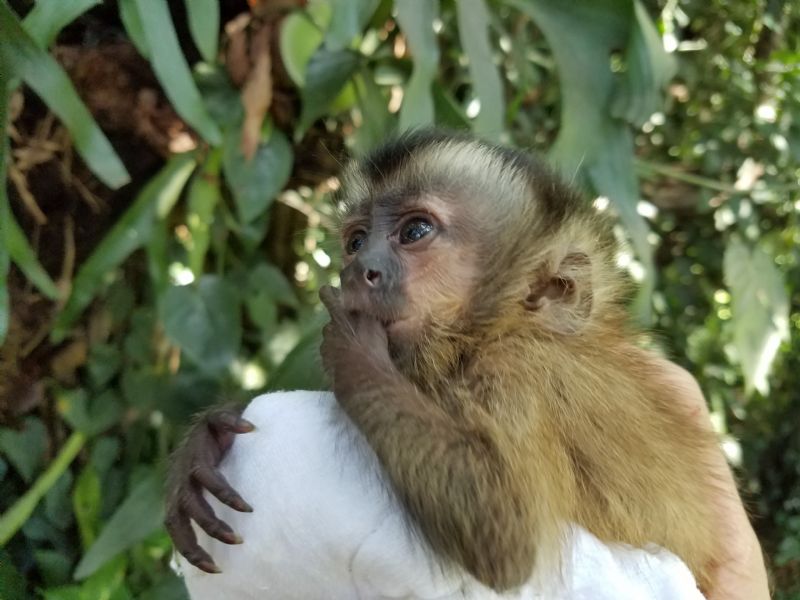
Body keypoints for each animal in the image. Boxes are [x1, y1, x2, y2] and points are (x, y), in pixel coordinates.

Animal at [165, 129, 724, 594]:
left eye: (415, 232)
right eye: (355, 241)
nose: (359, 270)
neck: (487, 335)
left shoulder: (513, 372)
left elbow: (508, 538)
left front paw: (352, 343)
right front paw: (207, 437)